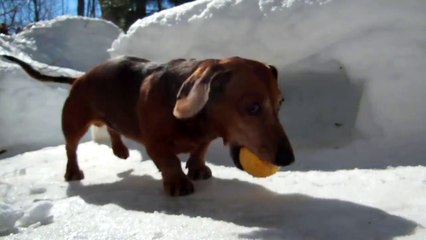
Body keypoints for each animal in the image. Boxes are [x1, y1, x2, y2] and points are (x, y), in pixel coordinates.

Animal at [3, 55, 294, 196]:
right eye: (252, 108)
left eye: (280, 103)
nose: (288, 159)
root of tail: (79, 78)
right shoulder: (155, 143)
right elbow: (169, 161)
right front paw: (177, 182)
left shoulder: (203, 138)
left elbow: (199, 150)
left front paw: (197, 168)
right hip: (74, 121)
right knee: (71, 147)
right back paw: (72, 171)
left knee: (113, 126)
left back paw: (120, 150)